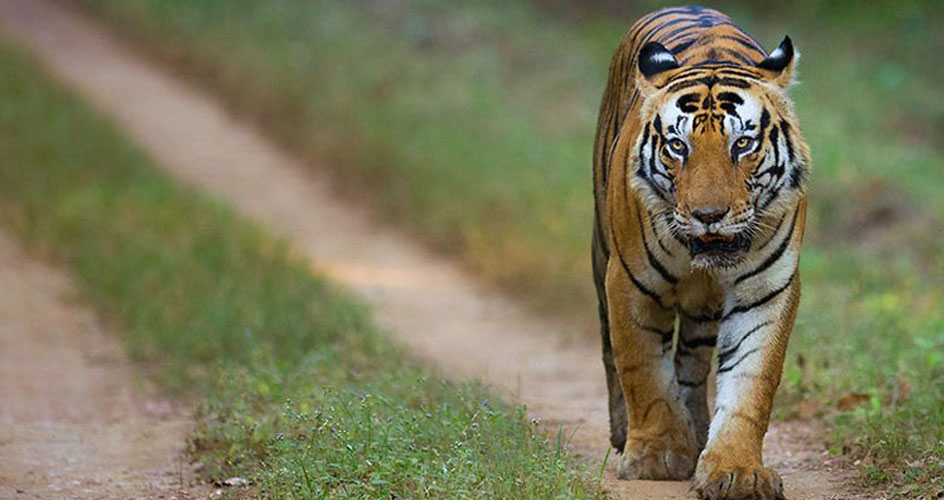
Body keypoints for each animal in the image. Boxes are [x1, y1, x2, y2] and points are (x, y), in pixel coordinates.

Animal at [592, 4, 812, 500]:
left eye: (742, 144)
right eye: (678, 146)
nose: (708, 215)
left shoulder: (766, 290)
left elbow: (751, 382)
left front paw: (737, 471)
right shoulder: (629, 282)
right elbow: (642, 369)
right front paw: (655, 457)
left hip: (703, 310)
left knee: (690, 362)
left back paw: (694, 428)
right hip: (600, 255)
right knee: (612, 351)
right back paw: (626, 432)